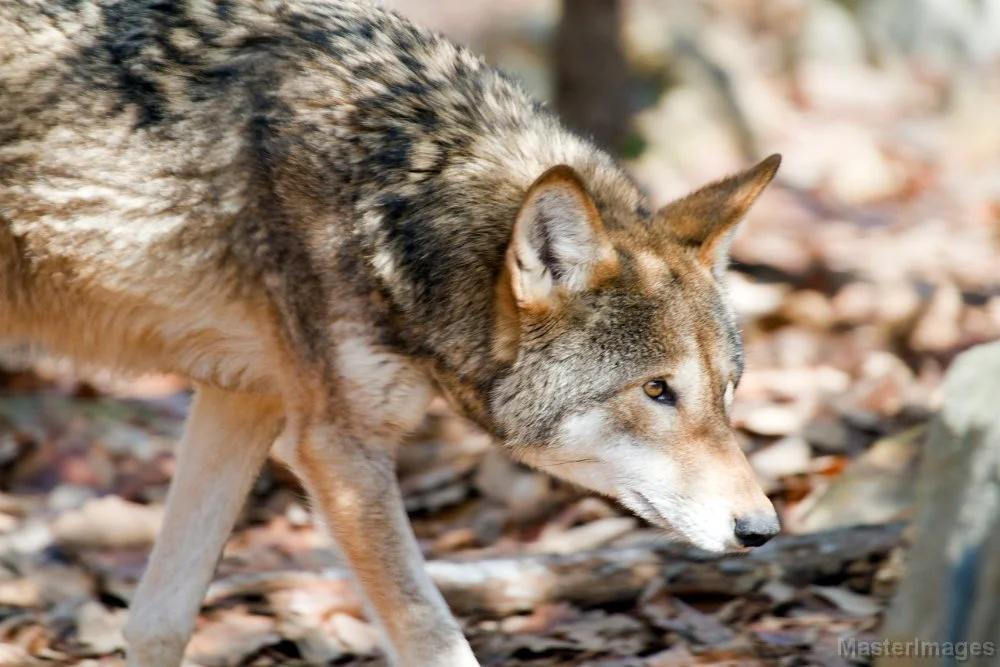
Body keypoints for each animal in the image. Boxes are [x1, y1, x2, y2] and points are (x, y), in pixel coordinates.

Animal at [0, 0, 781, 665]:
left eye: (727, 392)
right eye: (656, 390)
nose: (763, 531)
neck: (393, 194)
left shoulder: (243, 398)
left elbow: (158, 619)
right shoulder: (338, 452)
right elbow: (435, 640)